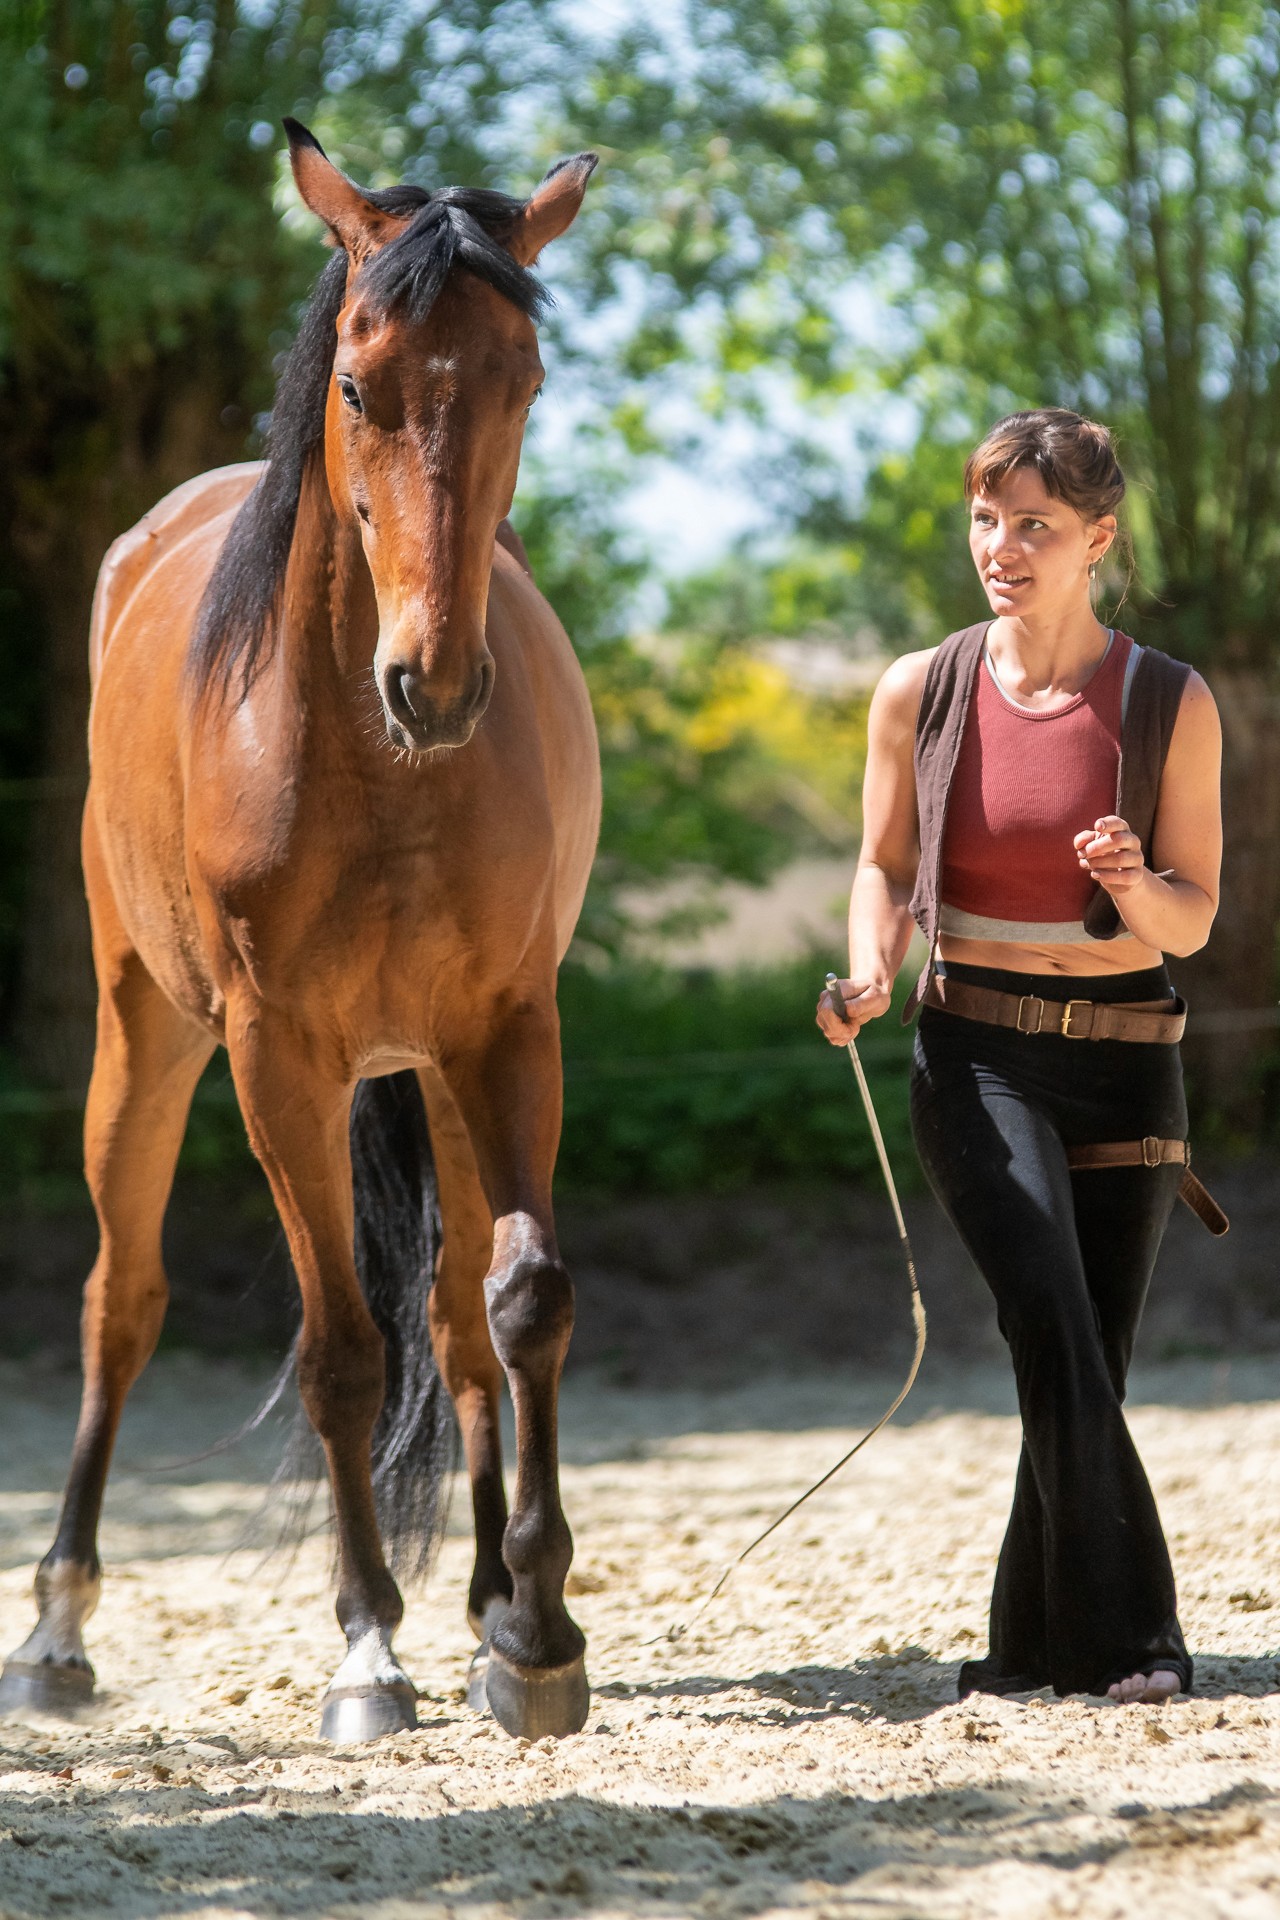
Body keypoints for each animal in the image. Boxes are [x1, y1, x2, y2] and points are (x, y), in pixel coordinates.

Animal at [0, 121, 602, 1745]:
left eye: (524, 382)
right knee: (118, 1301)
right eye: (354, 385)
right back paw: (59, 1628)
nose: (434, 687)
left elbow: (521, 1301)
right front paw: (367, 1650)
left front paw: (534, 1631)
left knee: (454, 1322)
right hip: (144, 1035)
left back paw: (485, 1605)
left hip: (435, 1071)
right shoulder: (280, 1060)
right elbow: (339, 1353)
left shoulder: (508, 1029)